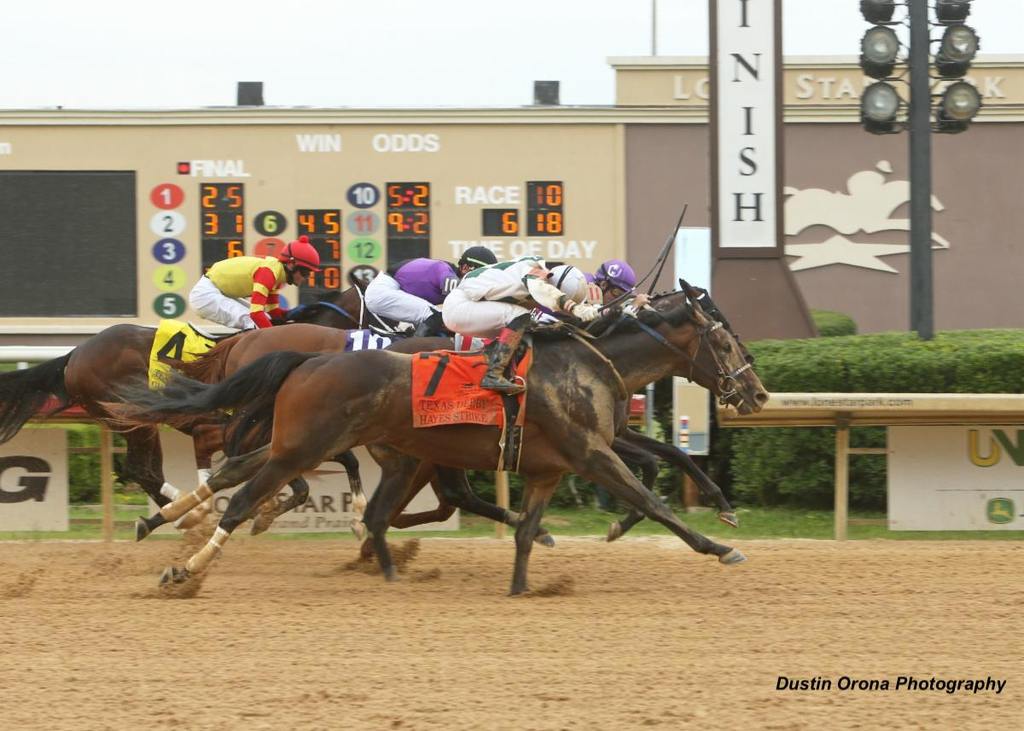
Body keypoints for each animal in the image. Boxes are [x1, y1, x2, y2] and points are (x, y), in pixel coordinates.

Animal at [105, 284, 770, 593]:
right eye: (723, 338)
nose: (757, 393)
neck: (587, 357)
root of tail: (303, 358)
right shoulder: (591, 451)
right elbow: (652, 497)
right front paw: (720, 543)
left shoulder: (551, 464)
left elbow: (517, 520)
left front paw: (526, 577)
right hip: (306, 445)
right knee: (243, 497)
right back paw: (187, 568)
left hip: (304, 441)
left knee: (238, 473)